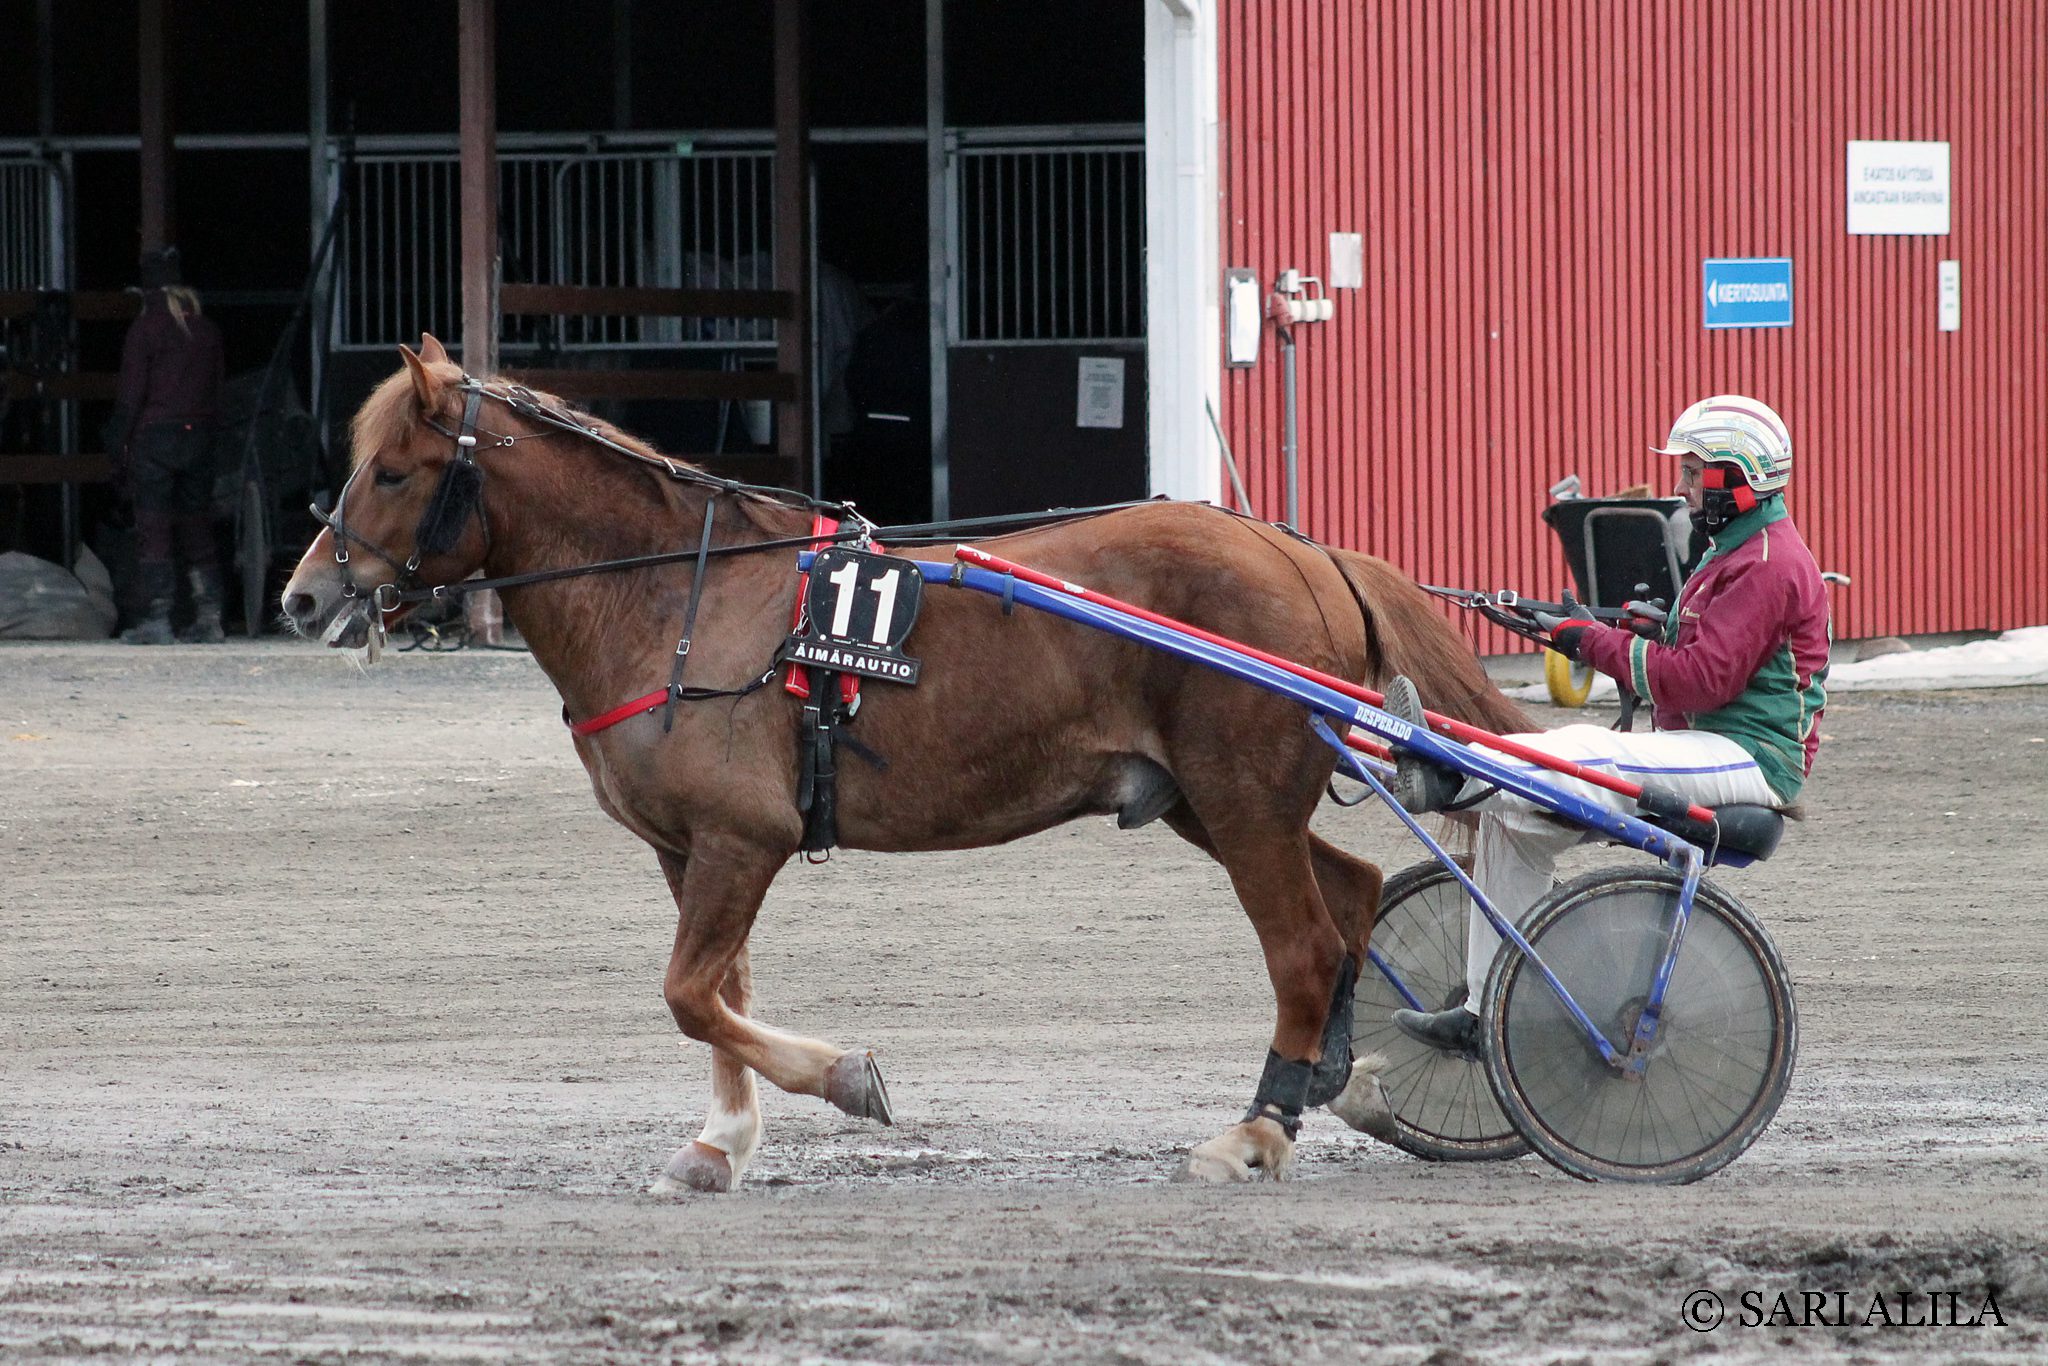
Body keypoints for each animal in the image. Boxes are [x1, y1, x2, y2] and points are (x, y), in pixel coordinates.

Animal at [282, 336, 1533, 1190]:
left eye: (391, 470)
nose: (303, 596)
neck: (678, 598)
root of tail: (1296, 547)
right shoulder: (693, 848)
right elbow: (717, 992)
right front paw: (718, 1143)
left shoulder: (745, 836)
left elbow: (690, 993)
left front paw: (845, 1078)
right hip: (1210, 800)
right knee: (1354, 896)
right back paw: (1332, 1078)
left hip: (1238, 797)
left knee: (1303, 945)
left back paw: (1256, 1126)